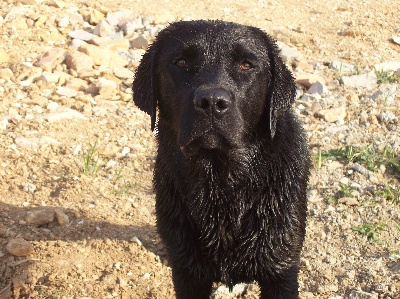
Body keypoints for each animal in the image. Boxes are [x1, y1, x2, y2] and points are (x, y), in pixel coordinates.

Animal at [133, 19, 310, 298]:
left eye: (246, 65)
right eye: (181, 62)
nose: (212, 101)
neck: (222, 182)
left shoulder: (281, 270)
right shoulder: (188, 273)